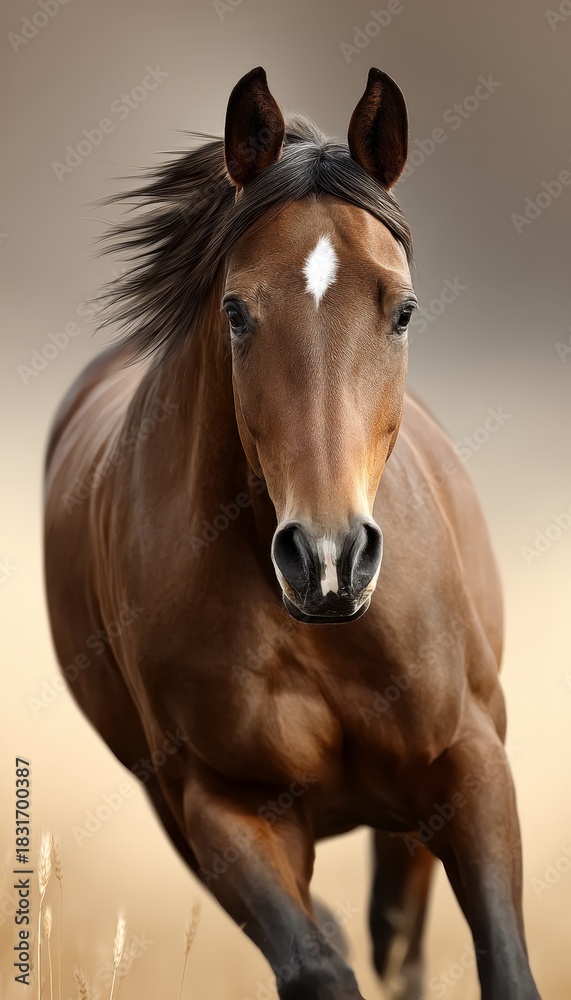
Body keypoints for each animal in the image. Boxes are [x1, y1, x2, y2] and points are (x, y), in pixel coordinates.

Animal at [44, 67, 541, 1000]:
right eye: (236, 311)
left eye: (402, 311)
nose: (328, 559)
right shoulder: (223, 806)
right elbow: (317, 966)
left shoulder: (468, 762)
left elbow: (499, 960)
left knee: (396, 943)